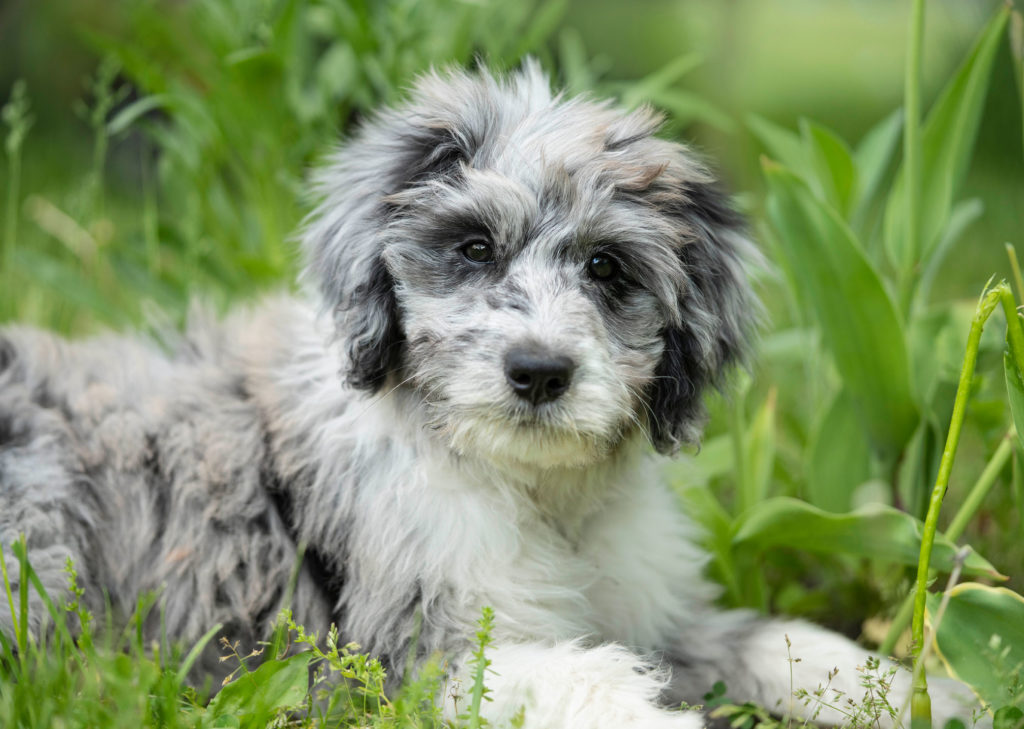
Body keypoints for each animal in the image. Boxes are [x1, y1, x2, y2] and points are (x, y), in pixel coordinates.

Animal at [0, 62, 974, 729]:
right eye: (472, 248)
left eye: (606, 266)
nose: (539, 372)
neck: (536, 492)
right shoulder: (409, 656)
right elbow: (589, 683)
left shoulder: (654, 611)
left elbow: (775, 641)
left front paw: (930, 689)